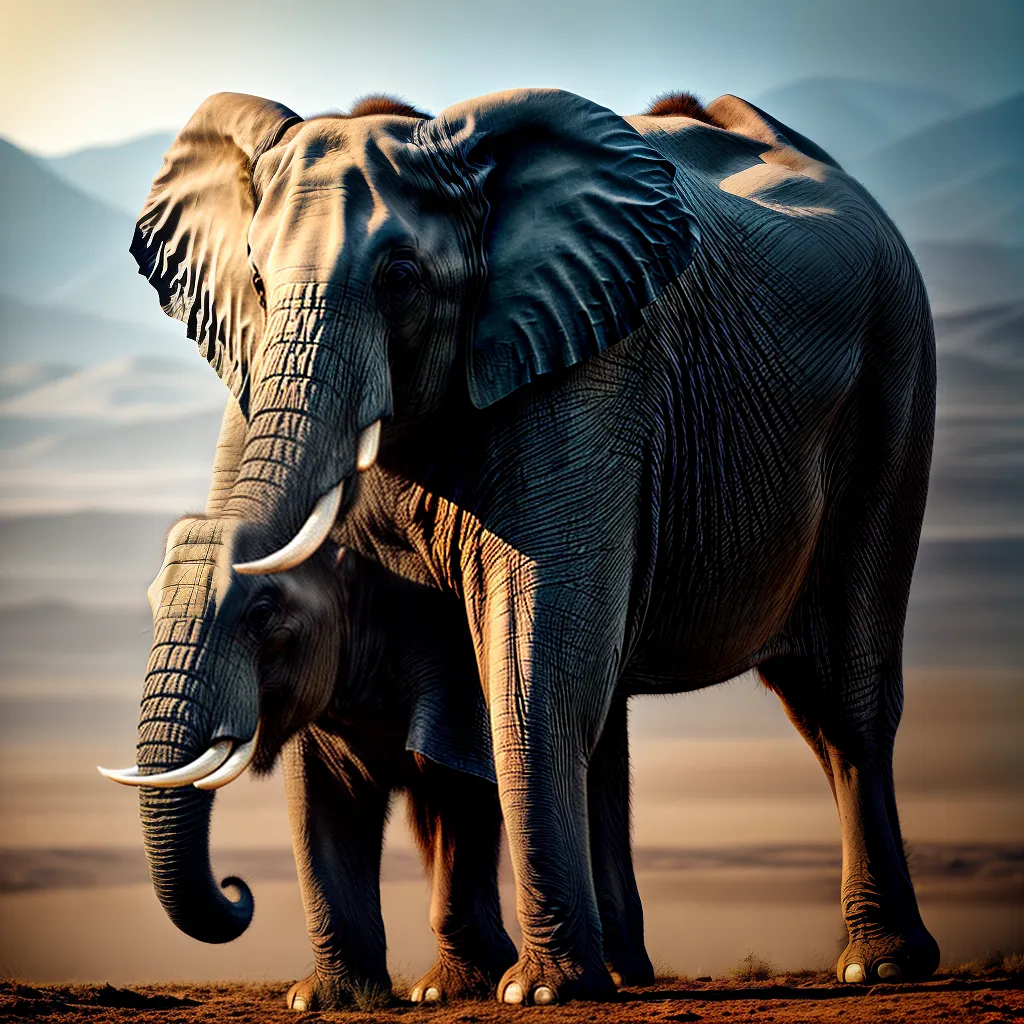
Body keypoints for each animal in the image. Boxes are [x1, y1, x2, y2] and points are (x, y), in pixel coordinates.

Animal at [125, 85, 940, 1002]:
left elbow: (530, 657)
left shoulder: (587, 368)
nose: (237, 894)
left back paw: (876, 966)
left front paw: (534, 991)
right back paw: (625, 973)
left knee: (844, 699)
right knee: (620, 717)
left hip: (894, 387)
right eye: (257, 281)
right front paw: (334, 1001)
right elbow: (335, 762)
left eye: (401, 279)